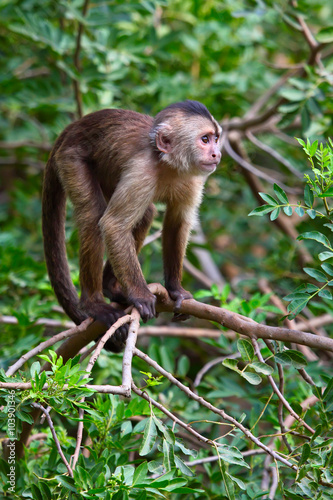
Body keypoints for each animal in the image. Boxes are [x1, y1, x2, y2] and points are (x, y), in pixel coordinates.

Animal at [42, 100, 222, 352]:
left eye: (215, 138)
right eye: (204, 139)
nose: (217, 153)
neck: (168, 163)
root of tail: (71, 128)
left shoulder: (194, 178)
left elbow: (177, 224)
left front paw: (175, 289)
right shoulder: (142, 171)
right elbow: (113, 225)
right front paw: (141, 295)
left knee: (145, 215)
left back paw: (112, 287)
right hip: (71, 157)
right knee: (93, 215)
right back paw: (94, 304)